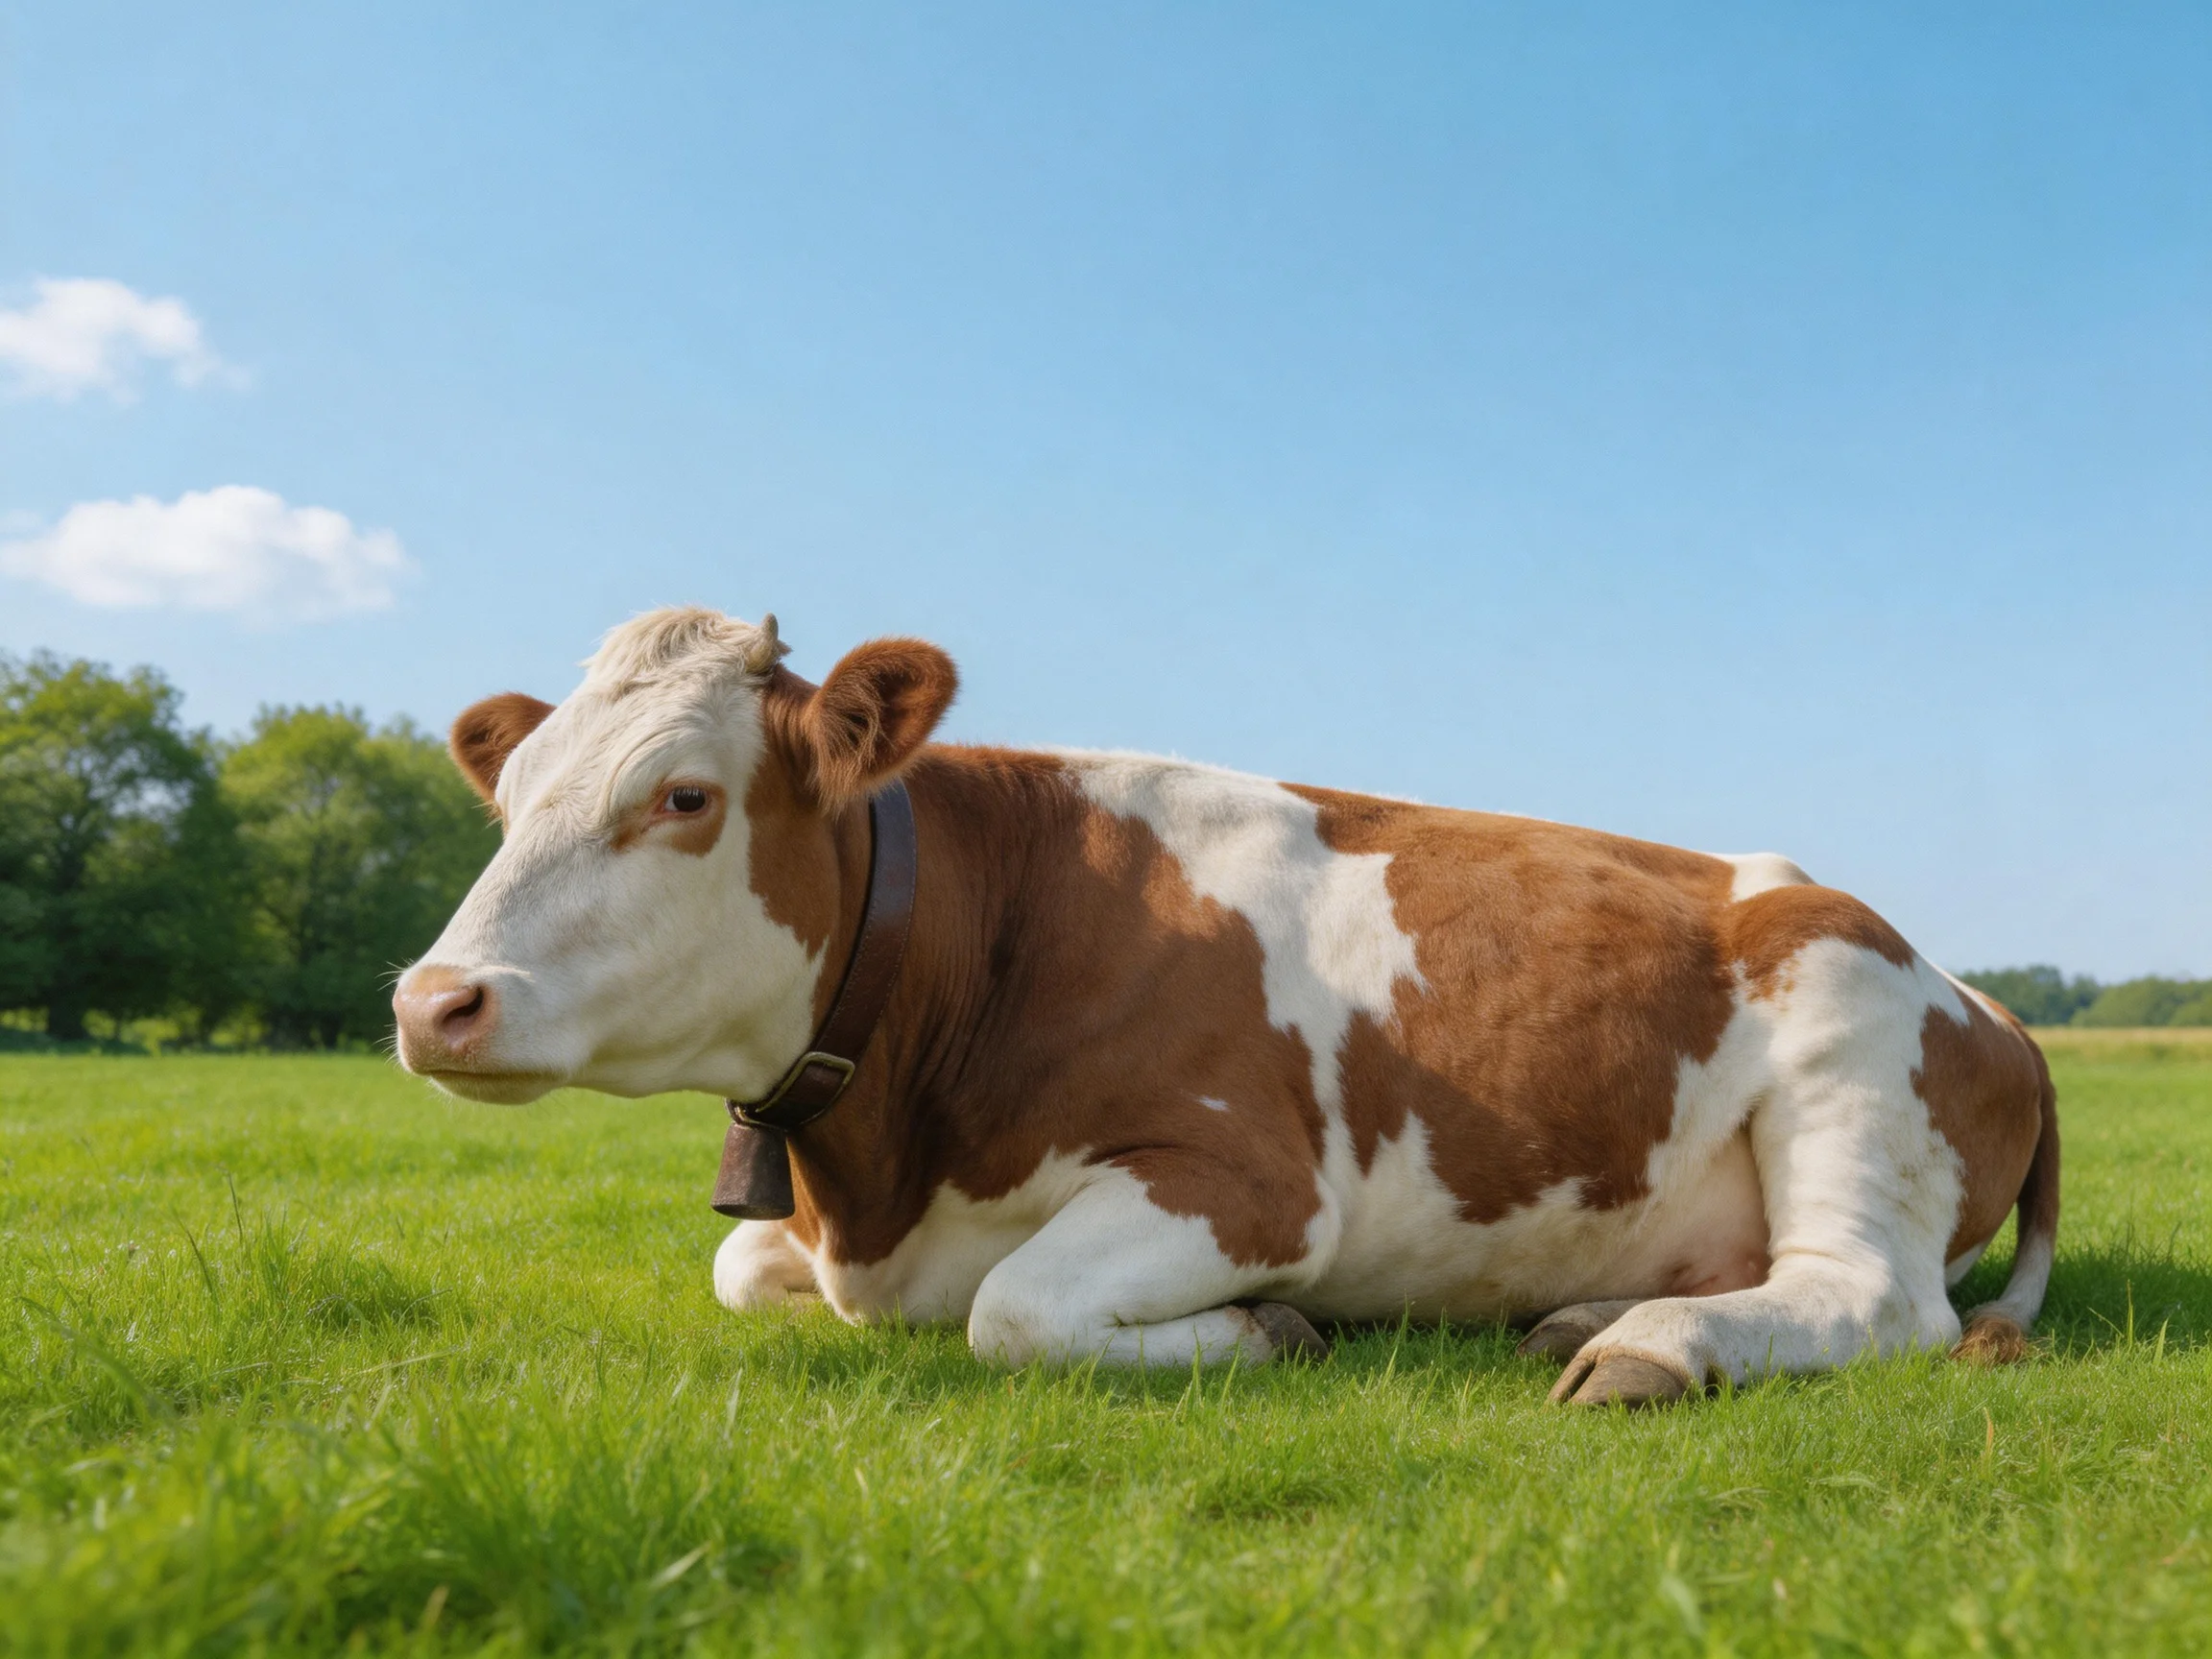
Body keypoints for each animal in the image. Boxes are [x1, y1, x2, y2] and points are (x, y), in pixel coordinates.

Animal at [393, 606, 2057, 1406]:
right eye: (511, 795)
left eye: (680, 795)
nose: (432, 1002)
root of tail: (1986, 999)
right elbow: (741, 1271)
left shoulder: (1249, 1182)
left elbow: (1015, 1313)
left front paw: (1272, 1333)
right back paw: (1597, 1309)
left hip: (1847, 1052)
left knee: (1874, 1299)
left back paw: (1657, 1349)